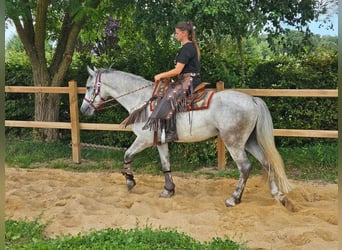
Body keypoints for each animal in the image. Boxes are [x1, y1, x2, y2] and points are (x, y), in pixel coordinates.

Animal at [80, 66, 292, 207]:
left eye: (89, 87)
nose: (83, 109)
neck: (142, 100)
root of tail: (252, 100)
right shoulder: (160, 141)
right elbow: (165, 164)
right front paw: (168, 190)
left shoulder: (144, 139)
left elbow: (127, 154)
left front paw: (130, 181)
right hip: (250, 141)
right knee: (267, 163)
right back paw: (278, 195)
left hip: (234, 142)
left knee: (245, 167)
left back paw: (234, 199)